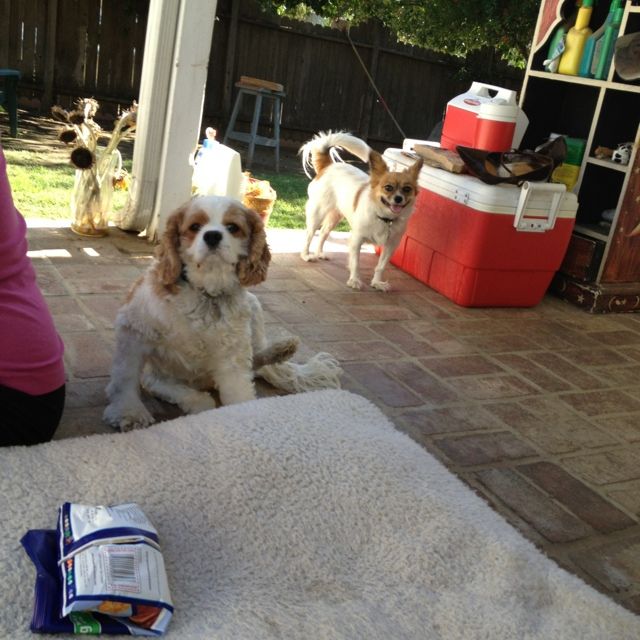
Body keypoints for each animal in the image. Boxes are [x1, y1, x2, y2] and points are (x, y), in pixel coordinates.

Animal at [103, 195, 342, 432]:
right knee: (168, 386)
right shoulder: (133, 329)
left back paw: (282, 349)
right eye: (195, 226)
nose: (212, 235)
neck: (207, 293)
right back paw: (198, 400)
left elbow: (239, 391)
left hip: (254, 308)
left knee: (258, 360)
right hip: (162, 375)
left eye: (232, 227)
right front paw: (129, 411)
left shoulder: (233, 357)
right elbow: (126, 376)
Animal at [300, 131, 423, 291]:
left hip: (334, 217)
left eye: (407, 189)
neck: (384, 218)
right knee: (309, 234)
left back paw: (320, 253)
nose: (398, 198)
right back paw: (306, 255)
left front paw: (377, 282)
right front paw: (354, 280)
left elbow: (381, 266)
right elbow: (356, 263)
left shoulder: (390, 246)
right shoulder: (356, 240)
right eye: (388, 188)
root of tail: (329, 166)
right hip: (318, 213)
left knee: (323, 233)